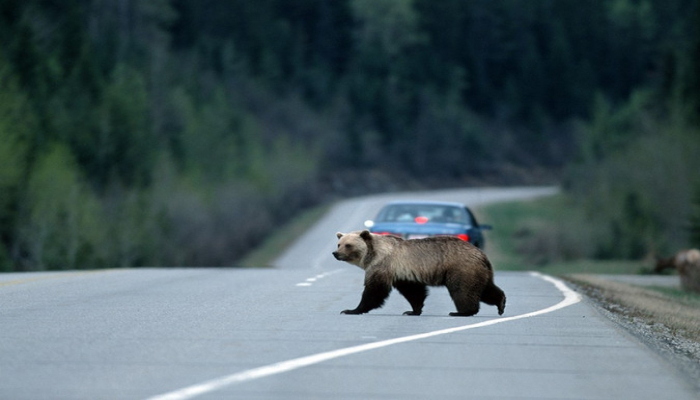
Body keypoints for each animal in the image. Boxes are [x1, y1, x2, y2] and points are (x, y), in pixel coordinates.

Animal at [330, 230, 506, 318]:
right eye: (339, 244)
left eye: (348, 245)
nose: (335, 253)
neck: (372, 254)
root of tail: (481, 254)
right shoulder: (402, 272)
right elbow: (413, 292)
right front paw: (412, 311)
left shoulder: (383, 265)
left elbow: (374, 290)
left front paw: (351, 309)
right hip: (478, 271)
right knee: (486, 289)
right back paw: (501, 303)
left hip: (461, 268)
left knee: (463, 290)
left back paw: (461, 312)